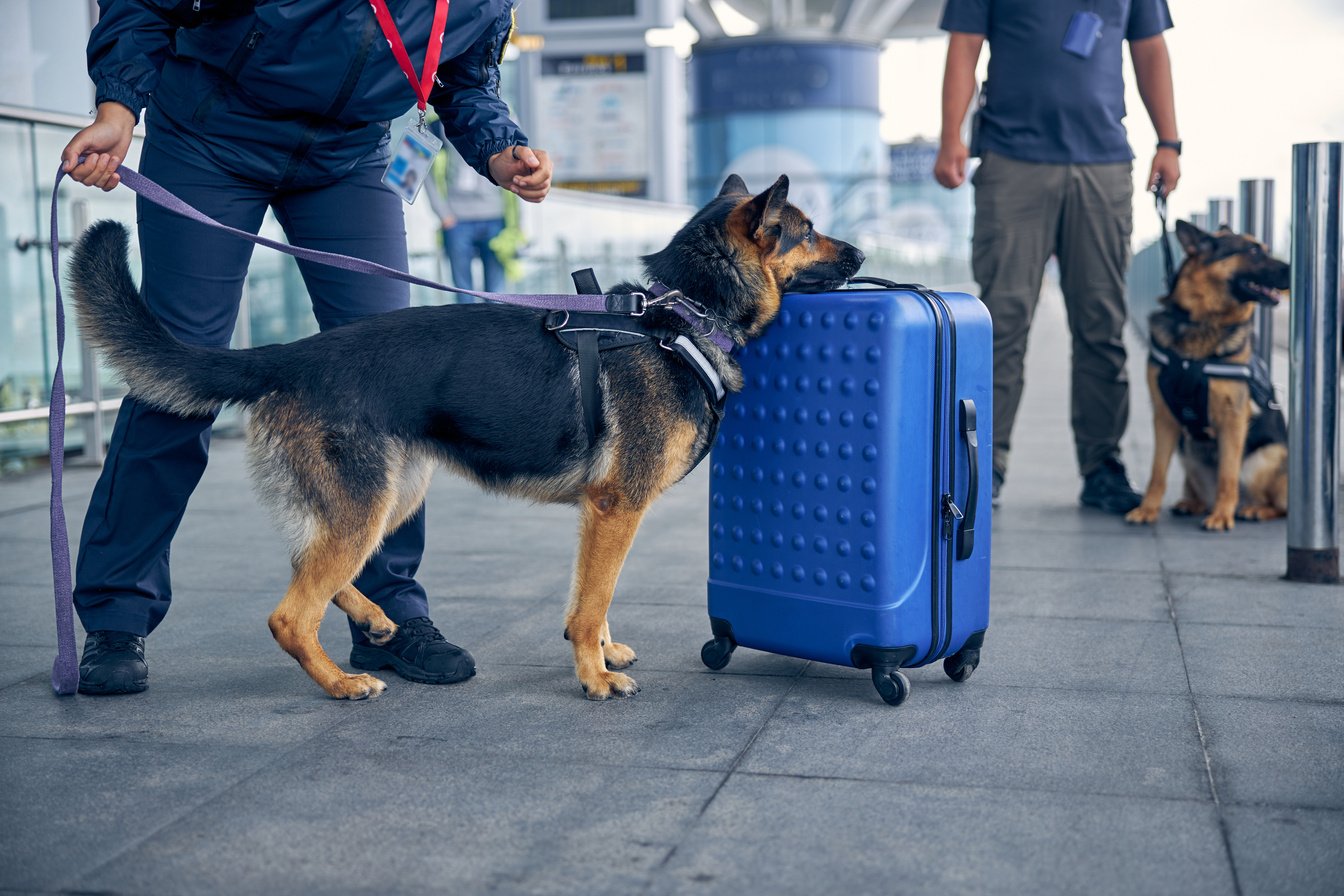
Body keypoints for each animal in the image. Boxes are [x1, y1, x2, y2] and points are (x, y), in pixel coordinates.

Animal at [73, 173, 865, 698]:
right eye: (807, 231)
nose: (859, 256)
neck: (681, 312)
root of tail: (289, 354)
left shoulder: (600, 515)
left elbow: (591, 596)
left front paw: (602, 654)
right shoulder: (618, 508)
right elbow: (593, 600)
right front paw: (594, 677)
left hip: (391, 495)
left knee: (315, 567)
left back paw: (379, 625)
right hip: (368, 504)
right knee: (289, 613)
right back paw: (341, 683)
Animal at [1123, 221, 1290, 531]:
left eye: (1264, 249)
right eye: (1252, 251)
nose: (1293, 269)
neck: (1203, 321)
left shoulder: (1233, 418)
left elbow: (1227, 473)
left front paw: (1222, 517)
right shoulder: (1163, 417)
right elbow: (1157, 472)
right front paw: (1147, 510)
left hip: (1263, 459)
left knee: (1278, 505)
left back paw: (1252, 509)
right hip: (1186, 450)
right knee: (1198, 488)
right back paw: (1193, 503)